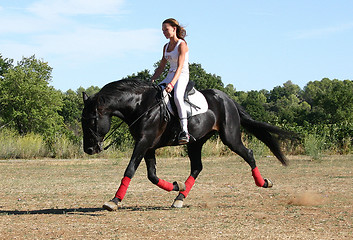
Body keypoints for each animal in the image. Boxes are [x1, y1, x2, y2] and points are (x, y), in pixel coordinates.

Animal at [81, 79, 290, 210]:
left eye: (92, 120)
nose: (89, 149)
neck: (141, 106)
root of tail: (227, 98)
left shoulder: (144, 142)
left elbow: (130, 169)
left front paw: (114, 201)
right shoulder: (148, 146)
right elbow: (152, 176)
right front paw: (176, 185)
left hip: (230, 137)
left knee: (248, 153)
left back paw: (264, 182)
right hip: (196, 143)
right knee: (197, 167)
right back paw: (180, 198)